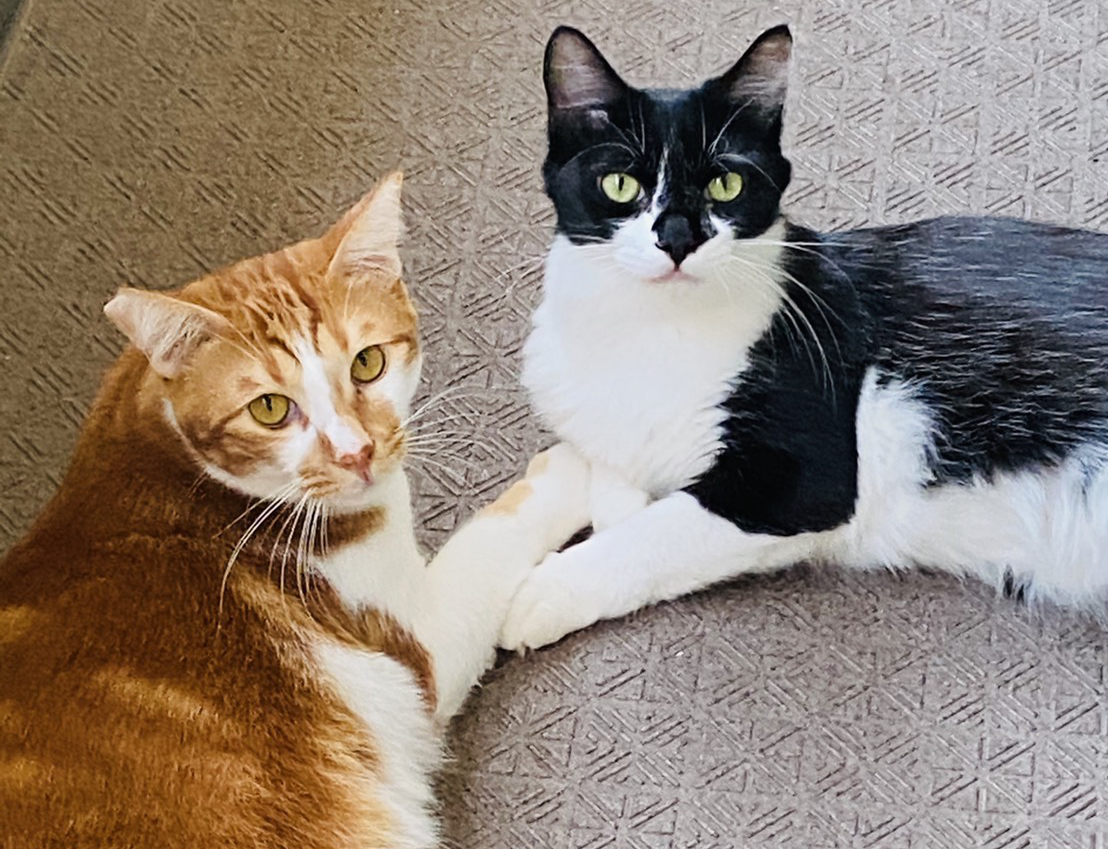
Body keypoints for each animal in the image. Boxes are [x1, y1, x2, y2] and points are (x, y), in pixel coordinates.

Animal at [0, 172, 589, 848]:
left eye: (367, 362)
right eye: (270, 409)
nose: (356, 452)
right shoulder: (423, 643)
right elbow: (499, 525)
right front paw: (580, 462)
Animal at [498, 25, 1108, 652]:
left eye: (726, 183)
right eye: (620, 185)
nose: (678, 239)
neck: (649, 328)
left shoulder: (799, 479)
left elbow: (650, 533)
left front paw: (542, 594)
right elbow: (616, 483)